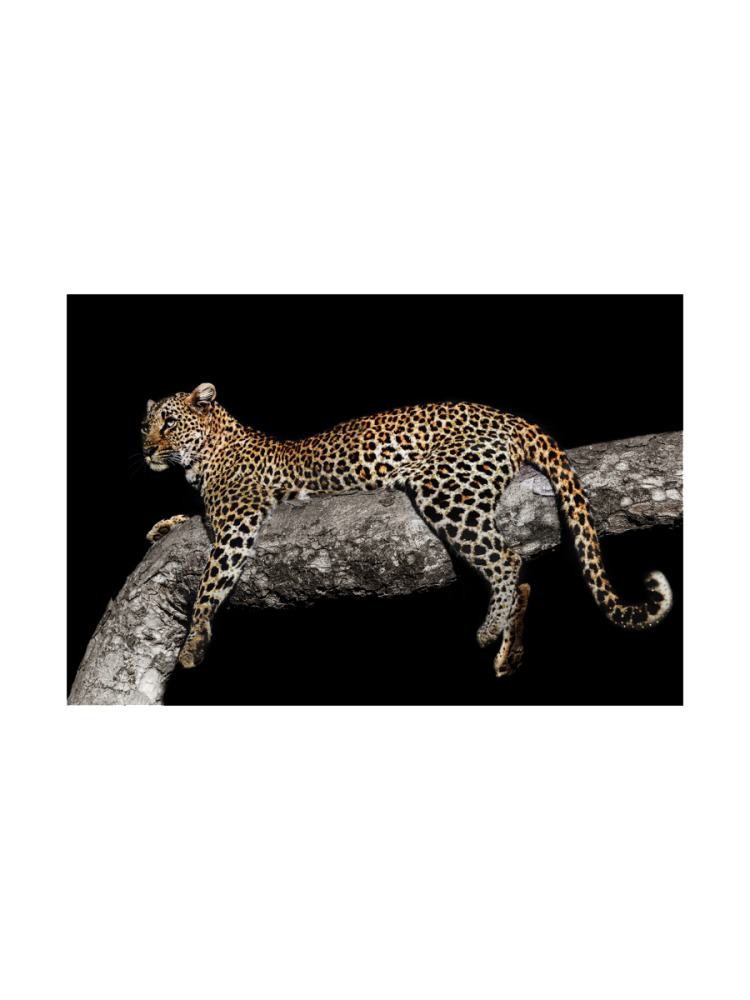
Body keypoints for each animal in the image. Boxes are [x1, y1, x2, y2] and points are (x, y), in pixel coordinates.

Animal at [142, 383, 672, 675]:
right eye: (144, 425)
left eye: (168, 423)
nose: (146, 449)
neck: (203, 457)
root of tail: (510, 415)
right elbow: (188, 524)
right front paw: (162, 525)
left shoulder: (239, 516)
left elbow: (210, 582)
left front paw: (193, 641)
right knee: (518, 575)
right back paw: (510, 652)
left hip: (446, 486)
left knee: (507, 559)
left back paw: (488, 631)